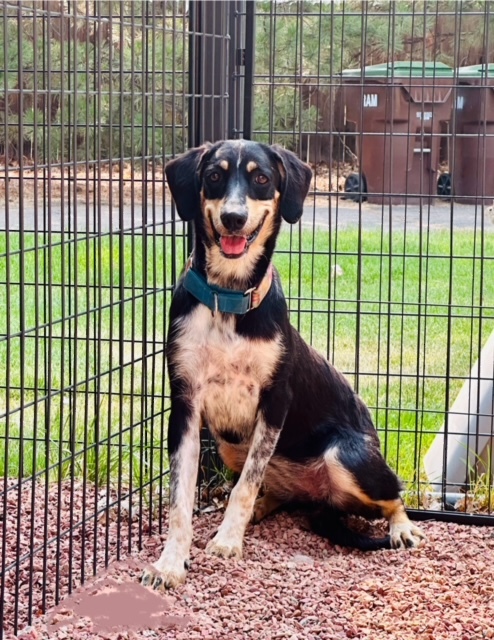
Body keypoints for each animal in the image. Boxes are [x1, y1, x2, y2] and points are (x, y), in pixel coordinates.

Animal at [140, 140, 424, 592]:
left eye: (261, 178)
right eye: (214, 176)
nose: (233, 218)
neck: (229, 301)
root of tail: (321, 497)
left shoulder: (275, 401)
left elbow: (246, 484)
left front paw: (227, 542)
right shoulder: (184, 403)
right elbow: (180, 497)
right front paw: (170, 563)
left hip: (346, 456)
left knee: (395, 494)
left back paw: (402, 529)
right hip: (228, 443)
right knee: (277, 493)